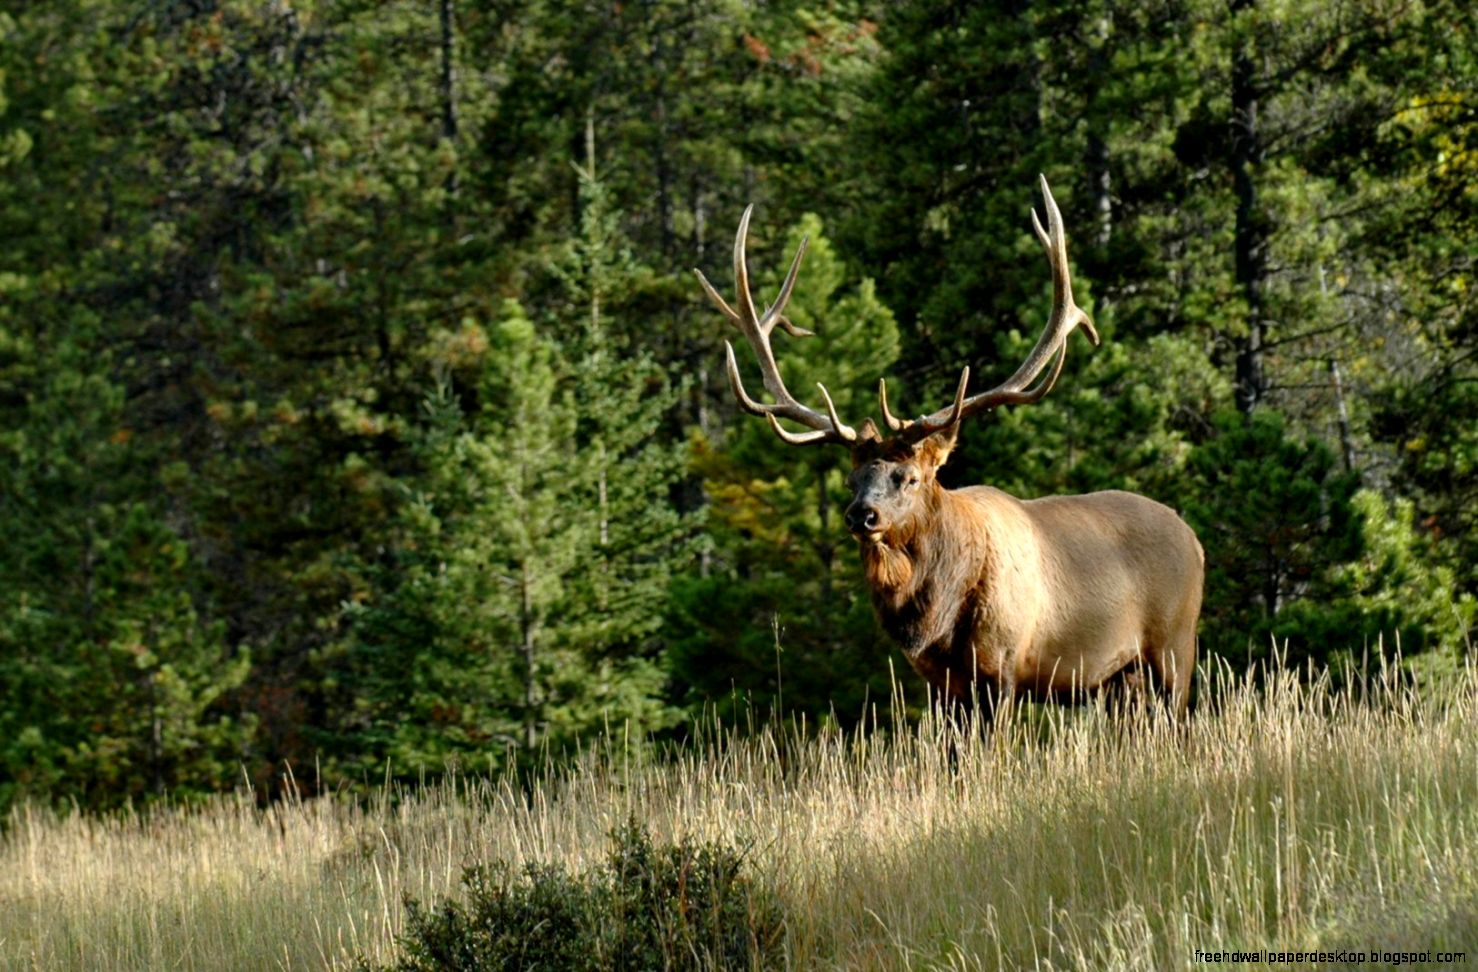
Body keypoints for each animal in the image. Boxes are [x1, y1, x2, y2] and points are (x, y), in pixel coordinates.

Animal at [694, 176, 1204, 720]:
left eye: (910, 477)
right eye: (852, 479)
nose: (861, 515)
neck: (939, 618)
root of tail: (1194, 540)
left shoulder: (1004, 663)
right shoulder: (939, 681)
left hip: (1175, 646)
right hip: (1118, 679)